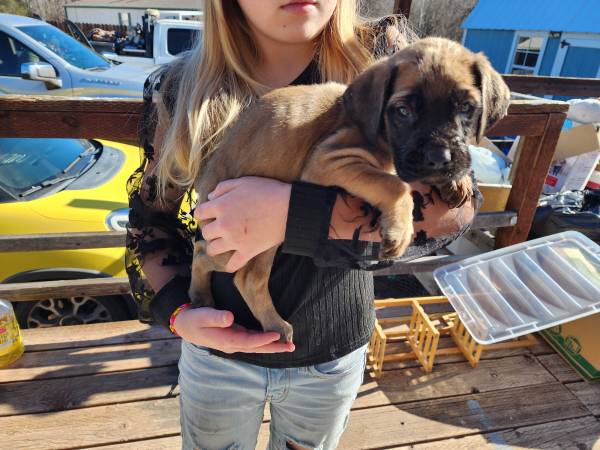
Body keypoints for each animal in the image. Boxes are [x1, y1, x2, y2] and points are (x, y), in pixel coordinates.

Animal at [190, 37, 508, 342]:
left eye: (466, 108)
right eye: (403, 111)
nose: (439, 159)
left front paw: (457, 180)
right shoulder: (330, 159)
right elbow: (394, 184)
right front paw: (400, 229)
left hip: (261, 244)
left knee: (248, 278)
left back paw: (273, 325)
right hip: (233, 244)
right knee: (203, 251)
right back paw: (201, 296)